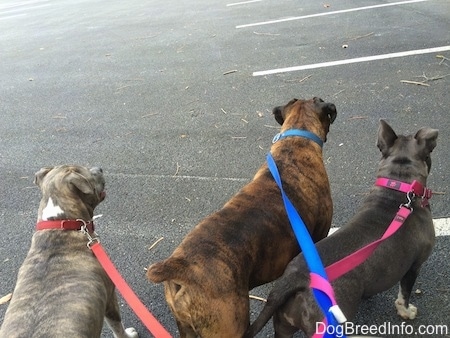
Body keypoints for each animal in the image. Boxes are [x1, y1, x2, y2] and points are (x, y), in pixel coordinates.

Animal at [0, 165, 138, 336]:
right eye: (87, 171)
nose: (99, 168)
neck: (60, 223)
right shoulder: (110, 297)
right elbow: (117, 327)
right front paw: (129, 334)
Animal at [246, 121, 440, 338]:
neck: (397, 188)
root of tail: (292, 279)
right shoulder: (415, 264)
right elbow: (404, 293)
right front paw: (406, 311)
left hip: (284, 325)